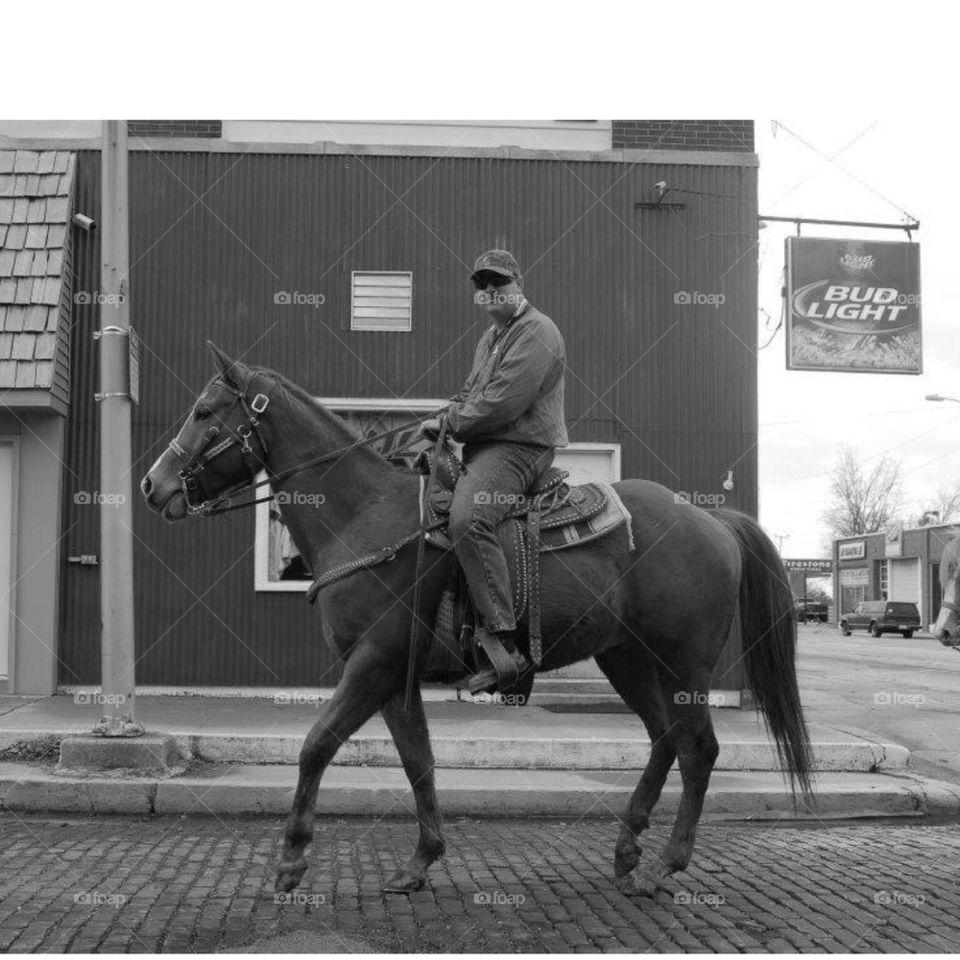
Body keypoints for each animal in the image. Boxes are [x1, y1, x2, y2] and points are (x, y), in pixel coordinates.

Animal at [140, 343, 814, 899]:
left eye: (204, 411)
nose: (151, 485)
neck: (364, 517)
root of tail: (711, 518)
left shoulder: (372, 664)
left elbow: (316, 745)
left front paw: (291, 860)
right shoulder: (394, 677)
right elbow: (418, 760)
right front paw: (420, 862)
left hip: (684, 664)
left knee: (699, 749)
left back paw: (663, 865)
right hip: (627, 659)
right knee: (665, 739)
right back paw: (627, 851)